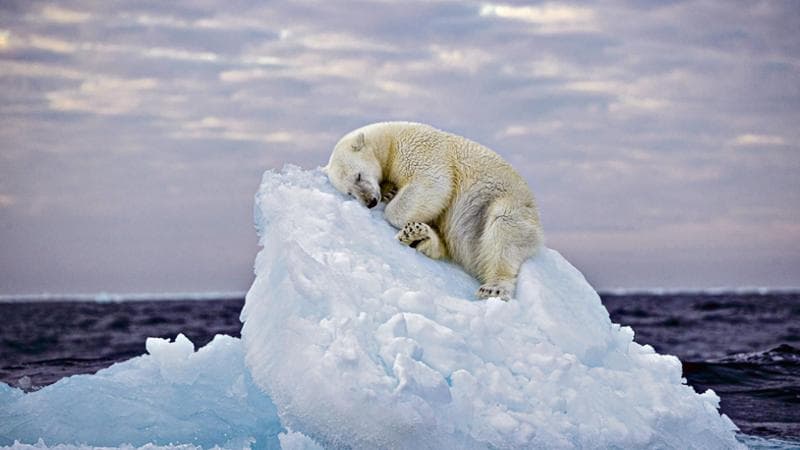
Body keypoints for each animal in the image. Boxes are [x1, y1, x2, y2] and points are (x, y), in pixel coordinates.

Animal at [325, 121, 543, 300]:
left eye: (358, 176)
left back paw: (494, 287)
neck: (389, 139)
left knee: (504, 230)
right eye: (349, 192)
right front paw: (389, 191)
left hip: (506, 203)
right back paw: (418, 235)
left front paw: (392, 202)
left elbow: (432, 182)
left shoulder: (419, 149)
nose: (370, 201)